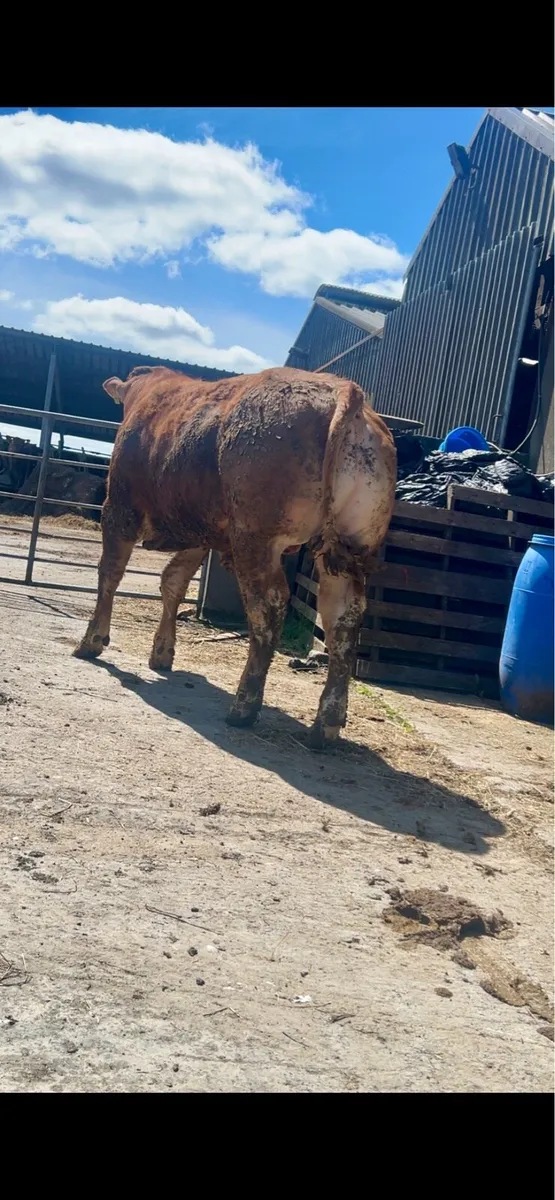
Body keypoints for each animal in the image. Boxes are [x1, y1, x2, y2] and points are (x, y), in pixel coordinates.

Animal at [74, 365, 396, 749]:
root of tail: (345, 392)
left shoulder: (119, 508)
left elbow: (110, 572)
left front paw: (91, 641)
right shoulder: (199, 533)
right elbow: (172, 581)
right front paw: (162, 653)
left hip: (256, 540)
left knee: (269, 607)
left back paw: (244, 705)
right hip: (349, 549)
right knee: (343, 618)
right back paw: (326, 724)